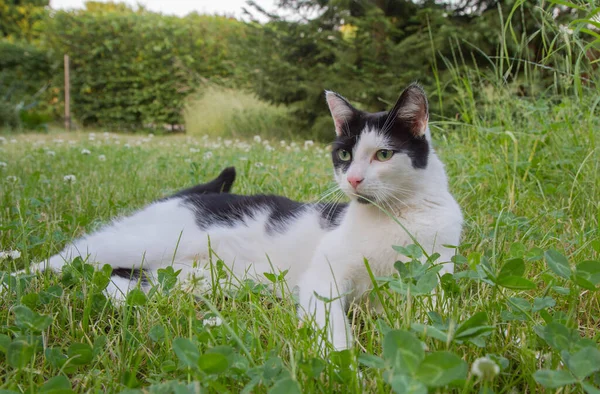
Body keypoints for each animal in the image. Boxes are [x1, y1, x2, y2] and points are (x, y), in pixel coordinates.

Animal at [7, 83, 462, 350]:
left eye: (383, 154)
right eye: (345, 154)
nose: (352, 179)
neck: (396, 216)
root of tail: (197, 195)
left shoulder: (436, 270)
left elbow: (438, 309)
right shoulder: (324, 276)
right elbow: (332, 324)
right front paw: (339, 362)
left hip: (179, 279)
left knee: (118, 284)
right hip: (138, 241)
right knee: (60, 259)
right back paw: (11, 282)